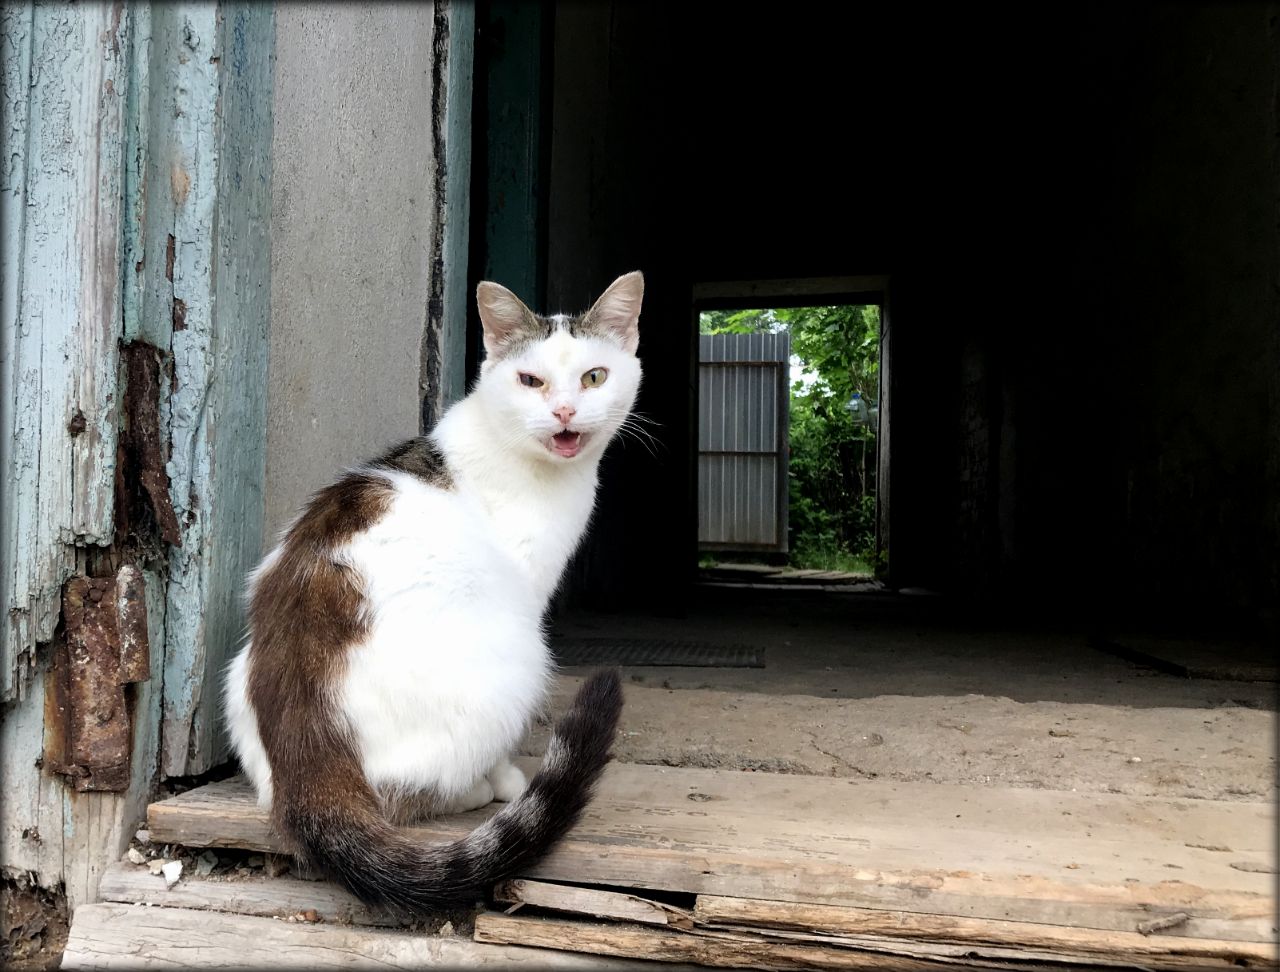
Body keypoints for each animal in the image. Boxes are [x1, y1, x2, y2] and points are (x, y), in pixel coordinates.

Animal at [223, 271, 644, 911]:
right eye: (531, 380)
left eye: (594, 377)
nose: (565, 410)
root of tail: (309, 761)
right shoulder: (528, 586)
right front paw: (505, 777)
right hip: (519, 656)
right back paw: (480, 789)